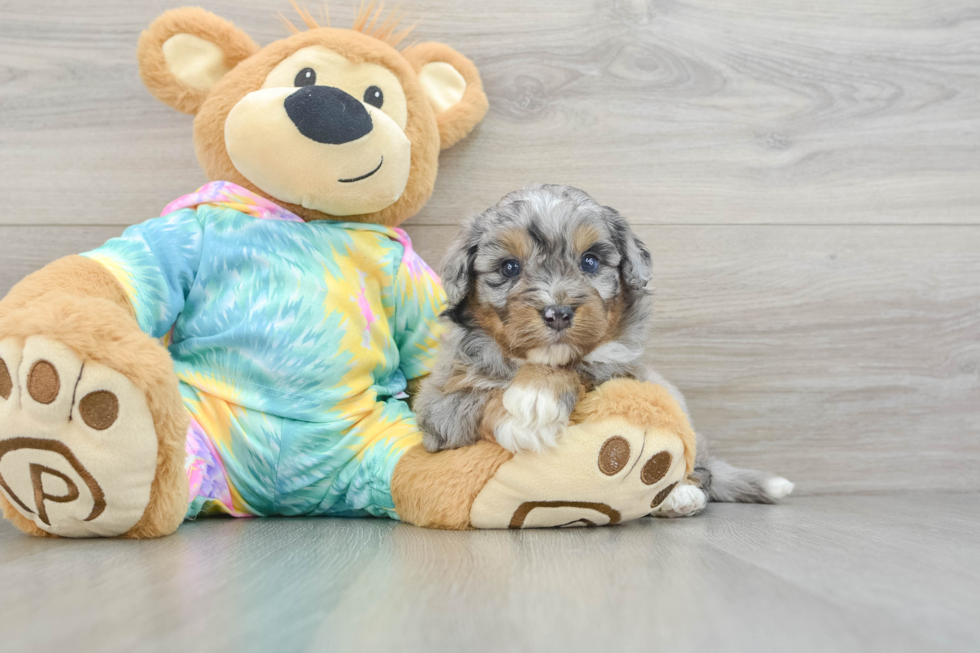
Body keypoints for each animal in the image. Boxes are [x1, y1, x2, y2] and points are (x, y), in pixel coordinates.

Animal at [416, 186, 796, 516]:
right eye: (509, 267)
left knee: (700, 468)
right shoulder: (439, 407)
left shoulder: (621, 370)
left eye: (590, 262)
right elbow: (476, 396)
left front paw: (538, 393)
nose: (558, 313)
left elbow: (582, 367)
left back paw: (680, 495)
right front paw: (524, 412)